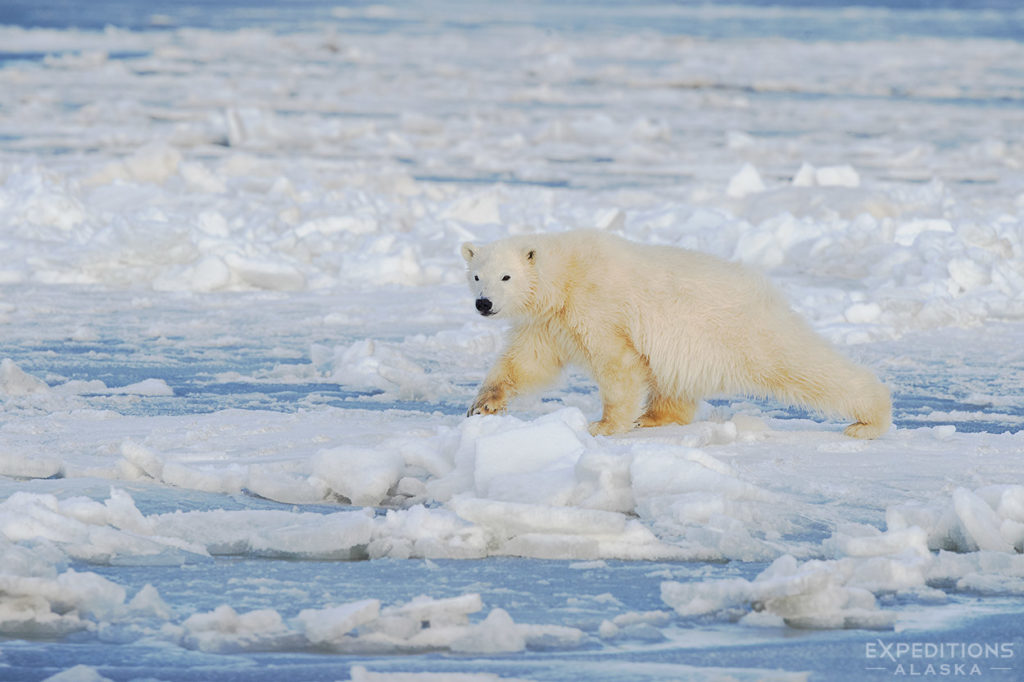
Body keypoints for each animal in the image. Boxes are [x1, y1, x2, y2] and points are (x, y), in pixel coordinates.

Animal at [460, 231, 892, 438]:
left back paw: (868, 420)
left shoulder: (596, 306)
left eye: (506, 276)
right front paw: (482, 405)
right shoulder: (549, 322)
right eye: (477, 275)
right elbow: (527, 363)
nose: (484, 304)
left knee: (802, 363)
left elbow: (618, 364)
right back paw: (654, 417)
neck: (565, 275)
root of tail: (765, 289)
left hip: (743, 330)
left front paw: (603, 425)